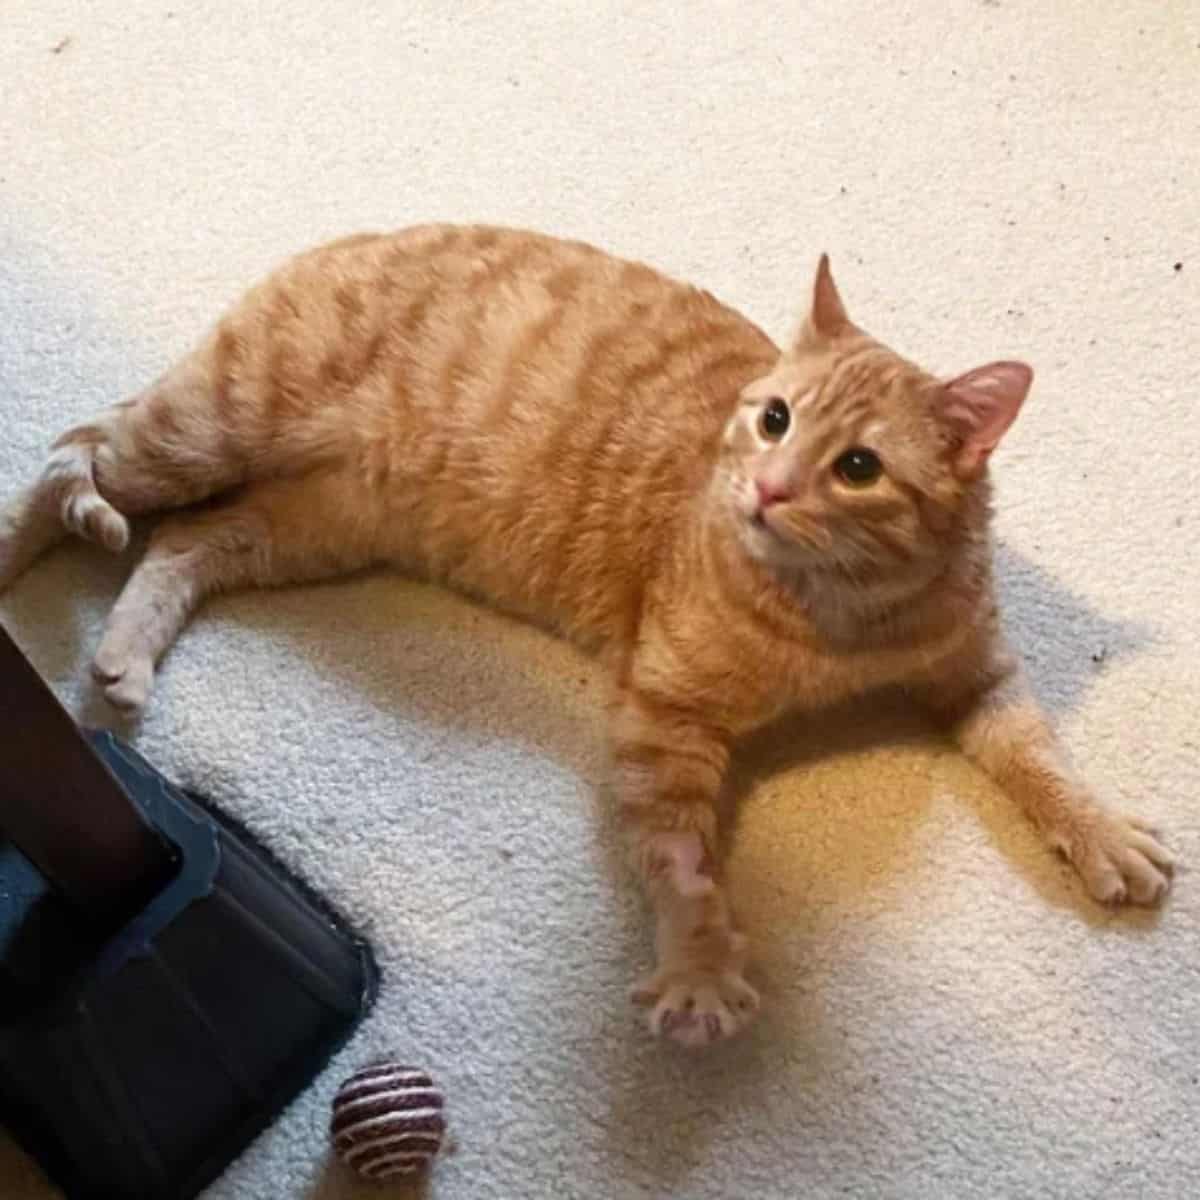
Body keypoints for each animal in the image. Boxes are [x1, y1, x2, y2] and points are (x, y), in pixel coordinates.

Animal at [2, 226, 1171, 1051]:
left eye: (859, 468)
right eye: (775, 419)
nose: (766, 487)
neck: (844, 618)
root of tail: (352, 235)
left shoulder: (975, 669)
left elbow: (1036, 753)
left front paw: (1101, 832)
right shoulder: (666, 711)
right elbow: (683, 862)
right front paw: (698, 967)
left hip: (308, 525)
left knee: (183, 542)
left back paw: (128, 649)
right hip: (204, 432)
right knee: (71, 461)